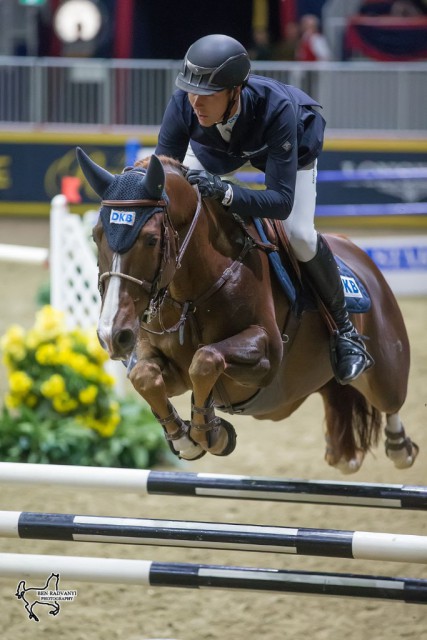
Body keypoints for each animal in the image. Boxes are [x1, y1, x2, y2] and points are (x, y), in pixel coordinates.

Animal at [76, 148, 418, 472]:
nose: (112, 334)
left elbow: (206, 359)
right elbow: (145, 376)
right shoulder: (161, 363)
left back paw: (397, 442)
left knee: (391, 400)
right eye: (95, 235)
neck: (191, 295)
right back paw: (341, 452)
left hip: (384, 370)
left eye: (149, 239)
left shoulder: (267, 353)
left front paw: (209, 434)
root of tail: (359, 254)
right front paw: (185, 439)